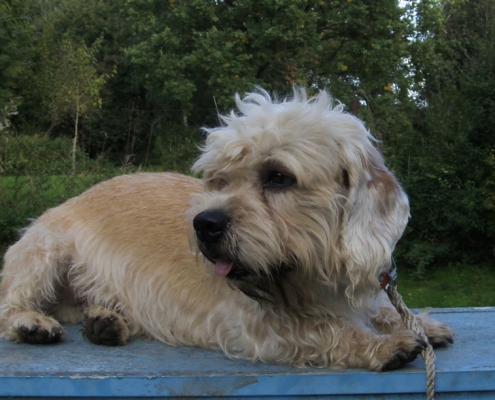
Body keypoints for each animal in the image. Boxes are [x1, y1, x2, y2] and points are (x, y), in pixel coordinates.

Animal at [0, 89, 454, 370]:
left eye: (278, 177)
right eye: (218, 180)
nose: (204, 224)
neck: (315, 278)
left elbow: (382, 310)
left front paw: (417, 324)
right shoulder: (260, 324)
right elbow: (324, 329)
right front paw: (383, 344)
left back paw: (104, 321)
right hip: (43, 249)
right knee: (11, 303)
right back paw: (33, 324)